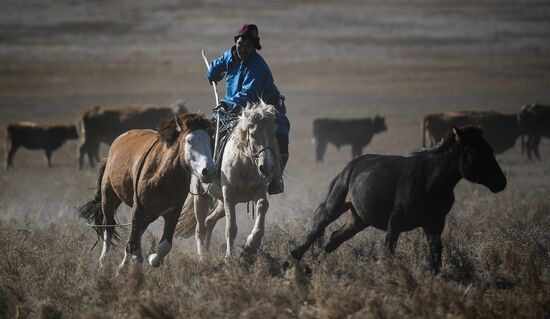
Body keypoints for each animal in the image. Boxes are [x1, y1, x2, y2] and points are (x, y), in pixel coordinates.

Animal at [78, 114, 217, 268]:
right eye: (189, 140)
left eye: (211, 141)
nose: (209, 171)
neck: (163, 176)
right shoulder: (138, 208)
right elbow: (132, 243)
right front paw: (131, 264)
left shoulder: (173, 212)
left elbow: (164, 245)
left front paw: (152, 259)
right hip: (109, 198)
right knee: (109, 225)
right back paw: (104, 260)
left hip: (150, 214)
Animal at [177, 104, 282, 258]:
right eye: (252, 135)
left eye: (273, 134)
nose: (267, 167)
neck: (245, 165)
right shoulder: (229, 193)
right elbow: (231, 228)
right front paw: (229, 256)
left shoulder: (258, 189)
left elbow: (263, 205)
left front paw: (251, 244)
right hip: (201, 196)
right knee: (199, 228)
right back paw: (202, 256)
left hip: (221, 202)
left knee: (209, 221)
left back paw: (207, 251)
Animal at [294, 127, 508, 276]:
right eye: (474, 151)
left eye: (490, 149)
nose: (501, 182)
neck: (431, 181)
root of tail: (349, 166)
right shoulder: (395, 220)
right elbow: (389, 249)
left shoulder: (434, 224)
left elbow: (436, 252)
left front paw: (437, 277)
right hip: (335, 205)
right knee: (316, 230)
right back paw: (293, 259)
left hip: (358, 220)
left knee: (334, 238)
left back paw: (316, 264)